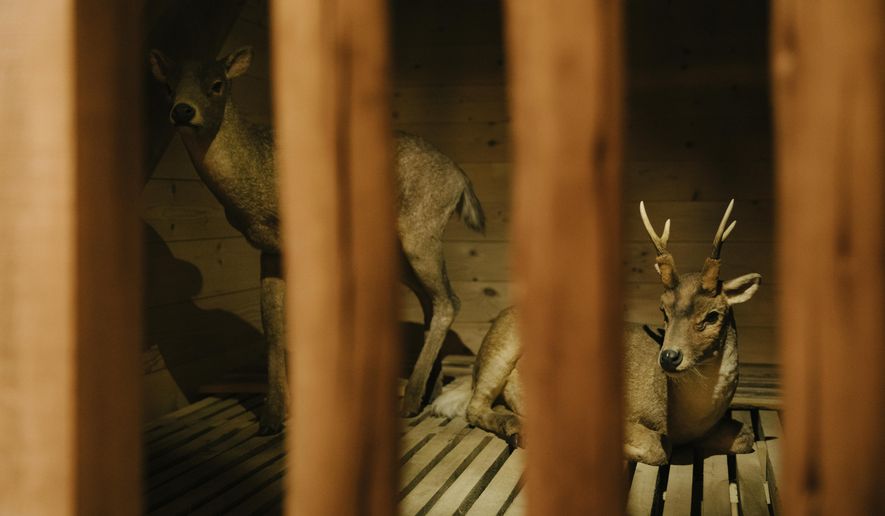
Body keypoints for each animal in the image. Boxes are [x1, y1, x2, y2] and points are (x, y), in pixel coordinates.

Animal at [149, 46, 485, 433]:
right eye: (168, 86)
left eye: (217, 84)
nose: (182, 111)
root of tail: (461, 178)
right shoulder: (268, 249)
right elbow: (273, 327)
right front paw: (273, 417)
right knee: (432, 301)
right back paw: (431, 389)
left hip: (421, 229)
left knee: (448, 300)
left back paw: (412, 400)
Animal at [432, 200, 761, 464]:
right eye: (663, 311)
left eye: (712, 315)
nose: (669, 357)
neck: (683, 418)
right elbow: (658, 447)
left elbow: (747, 436)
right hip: (500, 346)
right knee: (475, 407)